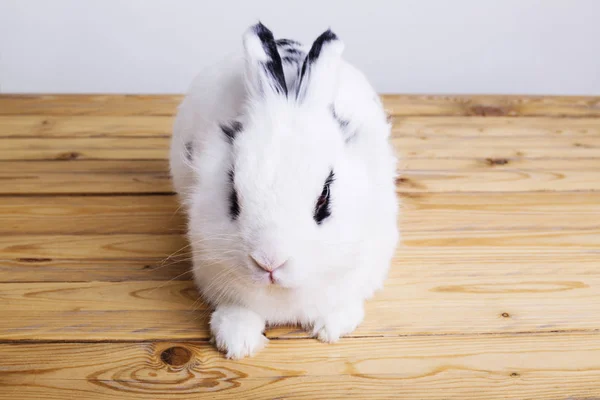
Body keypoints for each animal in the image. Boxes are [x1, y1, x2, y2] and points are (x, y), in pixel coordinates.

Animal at [170, 22, 398, 360]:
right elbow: (238, 311)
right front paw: (237, 343)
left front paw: (331, 329)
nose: (269, 262)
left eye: (324, 199)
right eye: (233, 196)